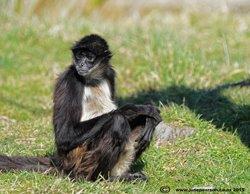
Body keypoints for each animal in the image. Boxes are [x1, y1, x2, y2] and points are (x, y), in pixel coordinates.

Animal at [0, 34, 161, 181]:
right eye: (79, 56)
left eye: (89, 57)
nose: (81, 64)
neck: (93, 79)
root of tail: (60, 162)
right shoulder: (70, 79)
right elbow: (64, 135)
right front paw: (135, 109)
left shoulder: (110, 74)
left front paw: (149, 118)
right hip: (78, 160)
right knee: (117, 121)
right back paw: (101, 179)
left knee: (140, 122)